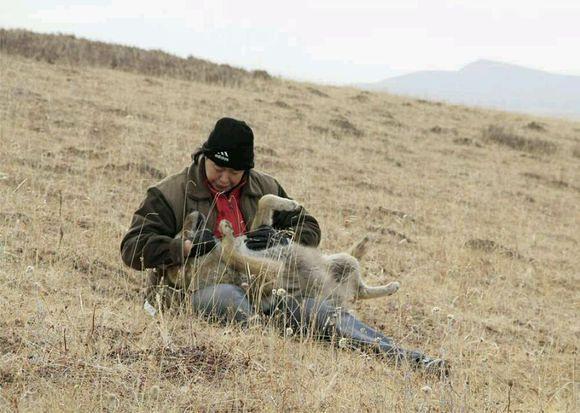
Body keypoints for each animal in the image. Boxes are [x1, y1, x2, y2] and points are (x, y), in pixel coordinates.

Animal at [164, 195, 398, 308]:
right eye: (181, 234)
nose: (192, 212)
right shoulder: (271, 271)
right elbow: (232, 253)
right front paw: (227, 233)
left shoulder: (257, 232)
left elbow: (264, 201)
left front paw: (289, 204)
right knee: (361, 291)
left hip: (343, 260)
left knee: (361, 286)